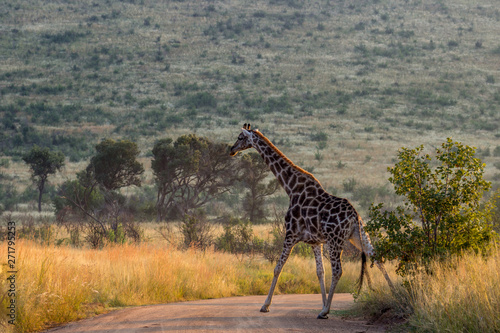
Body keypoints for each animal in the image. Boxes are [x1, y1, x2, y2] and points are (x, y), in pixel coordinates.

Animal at [230, 123, 394, 318]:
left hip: (335, 239)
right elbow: (319, 272)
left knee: (338, 270)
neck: (291, 188)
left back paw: (324, 311)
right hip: (358, 235)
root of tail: (355, 215)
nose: (231, 149)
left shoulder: (290, 234)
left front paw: (265, 305)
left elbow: (278, 267)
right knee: (377, 257)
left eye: (240, 137)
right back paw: (396, 293)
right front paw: (323, 303)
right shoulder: (316, 241)